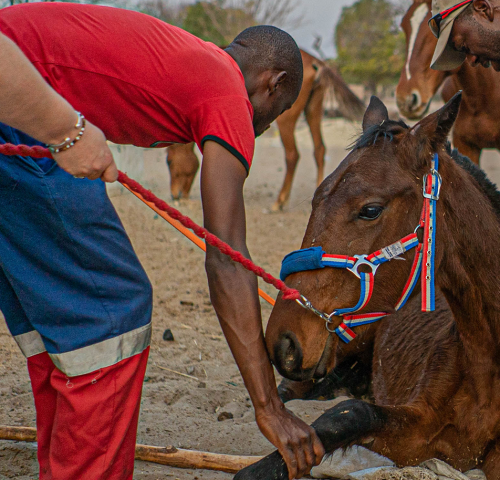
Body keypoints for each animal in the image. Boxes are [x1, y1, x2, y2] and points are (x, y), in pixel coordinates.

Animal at [168, 49, 364, 209]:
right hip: (314, 108)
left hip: (287, 118)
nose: (175, 195)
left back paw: (280, 202)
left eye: (168, 162)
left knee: (293, 155)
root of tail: (316, 62)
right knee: (319, 149)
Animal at [236, 94, 500, 480]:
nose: (284, 340)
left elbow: (352, 413)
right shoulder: (420, 428)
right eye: (316, 198)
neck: (486, 363)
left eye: (371, 210)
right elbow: (347, 417)